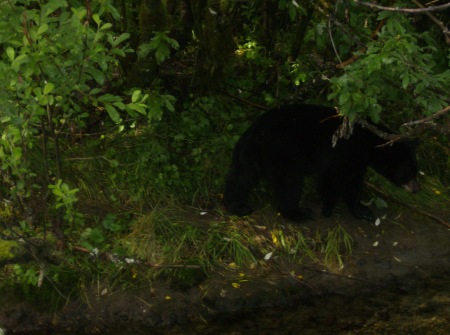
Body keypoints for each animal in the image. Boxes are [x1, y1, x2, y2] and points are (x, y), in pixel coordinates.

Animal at [223, 103, 420, 222]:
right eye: (409, 172)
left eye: (416, 171)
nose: (415, 189)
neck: (369, 142)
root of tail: (257, 133)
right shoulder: (346, 153)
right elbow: (342, 180)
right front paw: (343, 208)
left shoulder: (347, 159)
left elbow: (338, 179)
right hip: (284, 153)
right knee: (290, 183)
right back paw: (298, 212)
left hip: (248, 155)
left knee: (241, 178)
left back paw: (237, 206)